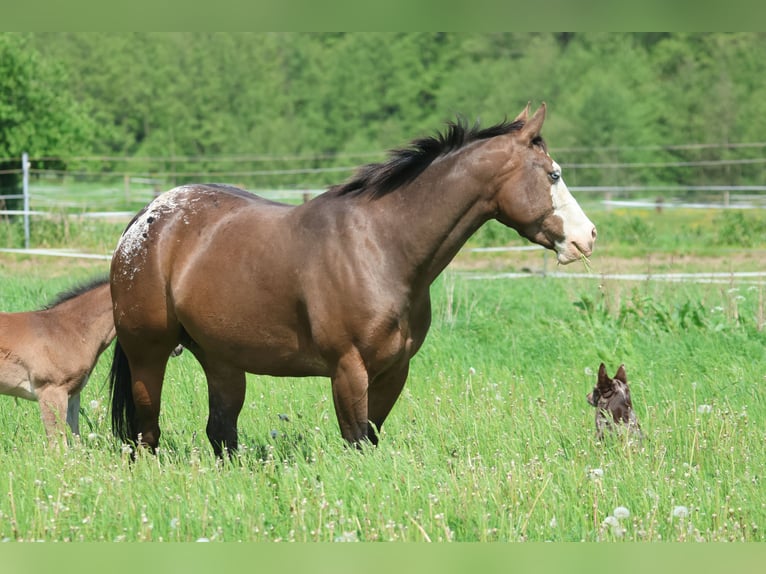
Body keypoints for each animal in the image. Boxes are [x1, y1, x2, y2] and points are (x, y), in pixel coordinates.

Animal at [108, 101, 600, 456]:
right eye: (553, 174)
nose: (588, 236)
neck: (381, 246)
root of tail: (145, 220)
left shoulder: (394, 371)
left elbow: (372, 439)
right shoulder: (348, 370)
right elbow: (356, 442)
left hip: (222, 360)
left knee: (221, 433)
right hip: (148, 354)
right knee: (146, 435)